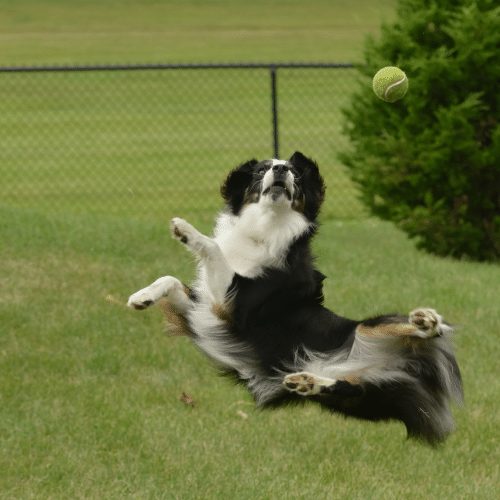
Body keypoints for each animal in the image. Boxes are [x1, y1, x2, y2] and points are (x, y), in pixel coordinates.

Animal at [127, 150, 462, 444]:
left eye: (296, 174)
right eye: (261, 169)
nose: (280, 170)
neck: (267, 226)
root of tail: (407, 366)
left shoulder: (237, 305)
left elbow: (213, 247)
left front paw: (185, 230)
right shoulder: (205, 310)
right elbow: (170, 280)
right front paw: (141, 297)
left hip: (372, 329)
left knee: (428, 332)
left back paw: (427, 320)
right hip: (364, 395)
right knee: (348, 389)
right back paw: (307, 381)